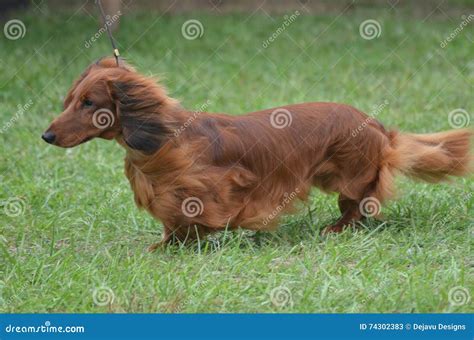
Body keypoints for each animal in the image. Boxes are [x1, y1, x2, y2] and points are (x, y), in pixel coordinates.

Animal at [43, 57, 470, 250]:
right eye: (70, 100)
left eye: (89, 103)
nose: (46, 136)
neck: (164, 138)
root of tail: (379, 128)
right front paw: (164, 243)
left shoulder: (212, 187)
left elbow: (192, 217)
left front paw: (180, 243)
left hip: (348, 174)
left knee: (360, 204)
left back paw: (336, 228)